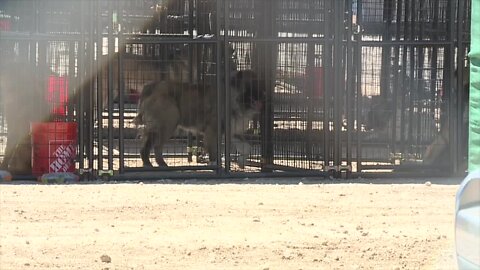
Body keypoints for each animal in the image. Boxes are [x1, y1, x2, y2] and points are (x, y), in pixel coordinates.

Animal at [133, 70, 264, 169]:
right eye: (252, 83)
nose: (264, 93)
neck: (233, 97)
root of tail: (150, 86)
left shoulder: (232, 131)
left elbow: (247, 147)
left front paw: (241, 161)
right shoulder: (213, 130)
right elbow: (214, 151)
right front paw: (215, 164)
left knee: (153, 144)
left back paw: (157, 164)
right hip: (167, 123)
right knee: (154, 144)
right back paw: (152, 164)